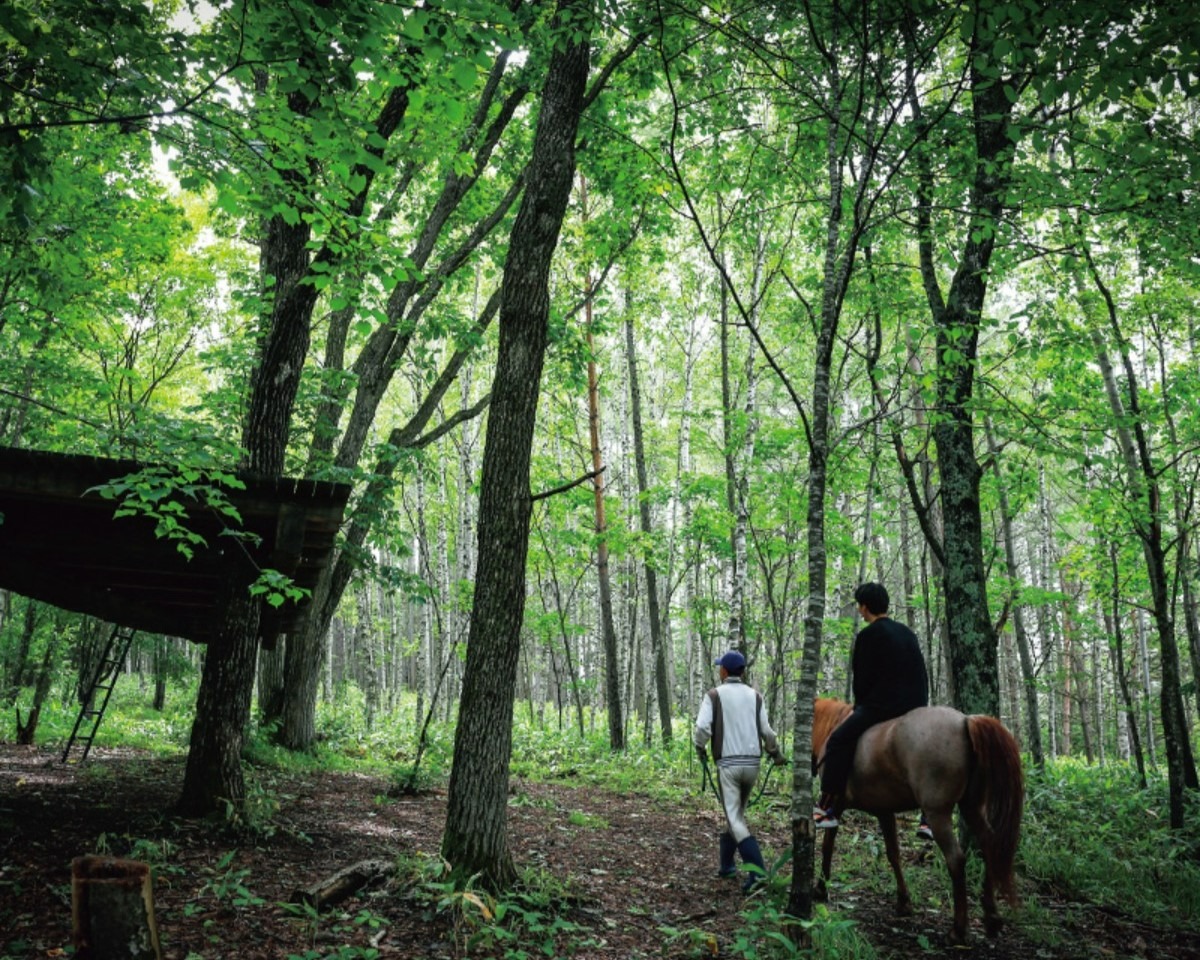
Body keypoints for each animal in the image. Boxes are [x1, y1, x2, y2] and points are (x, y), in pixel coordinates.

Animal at [811, 696, 1027, 945]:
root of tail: (965, 721)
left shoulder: (837, 805)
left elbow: (827, 846)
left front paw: (821, 887)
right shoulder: (885, 812)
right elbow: (893, 854)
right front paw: (904, 902)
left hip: (938, 813)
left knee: (956, 859)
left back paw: (958, 930)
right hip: (971, 806)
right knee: (989, 843)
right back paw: (991, 918)